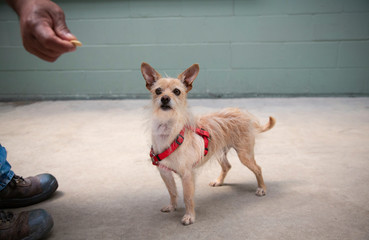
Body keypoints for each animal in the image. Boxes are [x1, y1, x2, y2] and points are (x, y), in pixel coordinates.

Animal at [142, 62, 274, 225]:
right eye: (158, 91)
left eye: (177, 91)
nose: (165, 98)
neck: (167, 131)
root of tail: (244, 115)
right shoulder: (165, 172)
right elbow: (172, 192)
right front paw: (172, 206)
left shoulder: (187, 175)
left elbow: (188, 197)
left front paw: (189, 216)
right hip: (219, 152)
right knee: (227, 166)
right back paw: (219, 181)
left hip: (245, 155)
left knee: (258, 168)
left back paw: (262, 188)